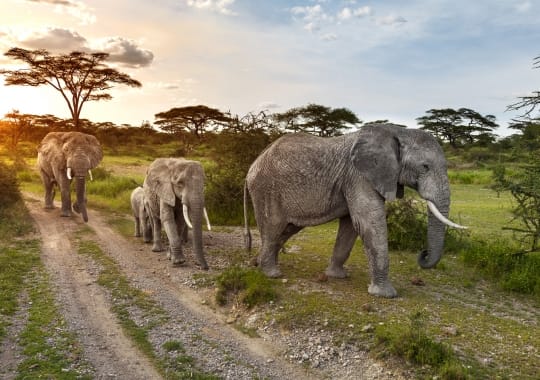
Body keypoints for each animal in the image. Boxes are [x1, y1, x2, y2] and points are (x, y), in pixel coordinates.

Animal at [247, 123, 466, 298]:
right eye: (425, 167)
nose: (424, 253)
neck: (398, 131)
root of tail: (254, 164)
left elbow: (351, 225)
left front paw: (337, 276)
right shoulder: (359, 176)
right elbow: (368, 221)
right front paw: (385, 295)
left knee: (287, 229)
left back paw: (258, 263)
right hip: (266, 190)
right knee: (274, 227)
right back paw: (272, 274)